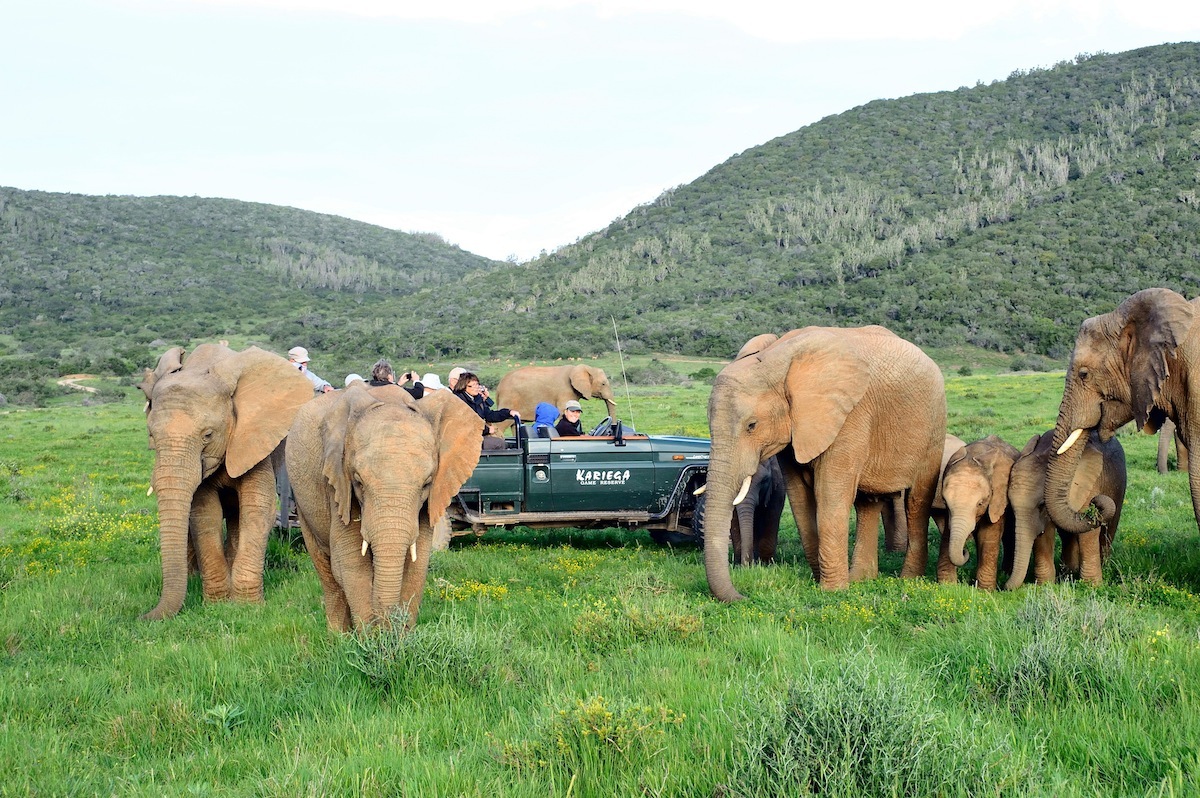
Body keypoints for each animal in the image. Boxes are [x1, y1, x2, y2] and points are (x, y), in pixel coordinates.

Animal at [137, 344, 313, 620]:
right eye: (151, 436)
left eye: (208, 435)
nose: (142, 617)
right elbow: (204, 514)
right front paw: (217, 605)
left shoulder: (254, 437)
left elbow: (256, 509)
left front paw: (246, 607)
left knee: (237, 516)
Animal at [285, 382, 483, 631]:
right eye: (358, 482)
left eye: (426, 484)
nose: (388, 626)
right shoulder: (338, 484)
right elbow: (351, 562)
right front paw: (373, 638)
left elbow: (417, 565)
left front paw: (397, 637)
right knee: (328, 573)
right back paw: (339, 636)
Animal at [703, 325, 947, 599]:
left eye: (751, 425)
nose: (744, 595)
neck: (777, 359)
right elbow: (799, 497)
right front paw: (823, 581)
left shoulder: (850, 416)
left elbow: (830, 493)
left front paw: (832, 592)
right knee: (868, 503)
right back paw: (861, 579)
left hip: (933, 424)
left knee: (916, 501)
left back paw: (908, 580)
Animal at [933, 435, 1018, 590]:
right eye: (945, 501)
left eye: (980, 503)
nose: (964, 551)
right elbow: (948, 533)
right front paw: (948, 587)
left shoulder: (997, 499)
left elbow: (988, 535)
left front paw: (984, 591)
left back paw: (1005, 573)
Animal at [1006, 429, 1125, 589]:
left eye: (1042, 505)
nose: (1004, 586)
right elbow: (1045, 533)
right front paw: (1045, 585)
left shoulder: (1089, 485)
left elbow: (1088, 532)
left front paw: (1091, 586)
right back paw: (1068, 573)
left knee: (1108, 530)